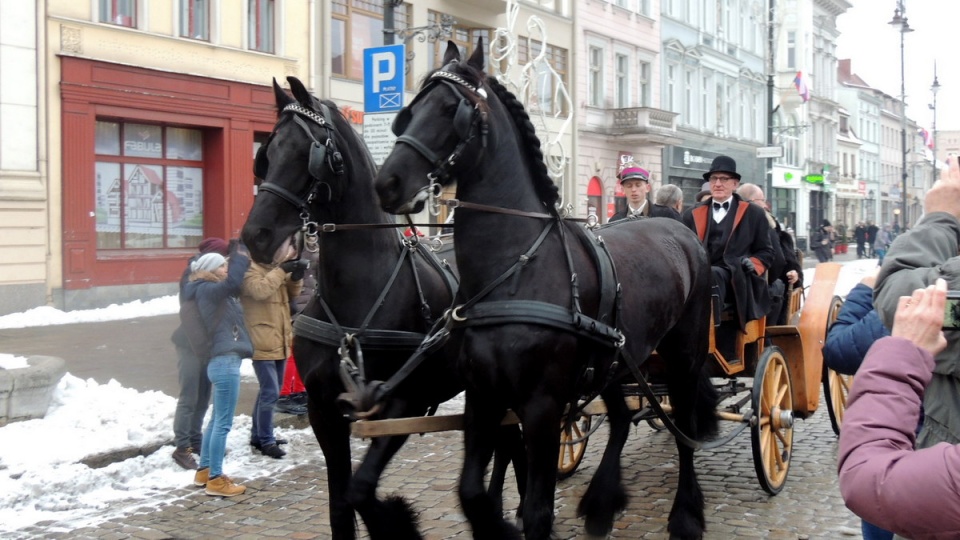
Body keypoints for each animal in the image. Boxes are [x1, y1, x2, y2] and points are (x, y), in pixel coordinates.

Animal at [242, 77, 524, 540]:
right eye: (267, 155)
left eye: (308, 153)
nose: (255, 235)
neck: (356, 297)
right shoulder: (324, 412)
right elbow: (341, 505)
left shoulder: (403, 404)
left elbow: (361, 491)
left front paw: (398, 519)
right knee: (507, 441)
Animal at [376, 42, 720, 540]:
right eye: (409, 111)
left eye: (449, 109)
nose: (387, 182)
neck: (515, 271)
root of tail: (681, 231)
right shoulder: (483, 397)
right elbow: (471, 492)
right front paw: (498, 524)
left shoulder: (541, 405)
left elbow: (538, 510)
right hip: (616, 361)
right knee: (620, 420)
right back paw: (601, 504)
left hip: (683, 356)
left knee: (685, 429)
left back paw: (685, 516)